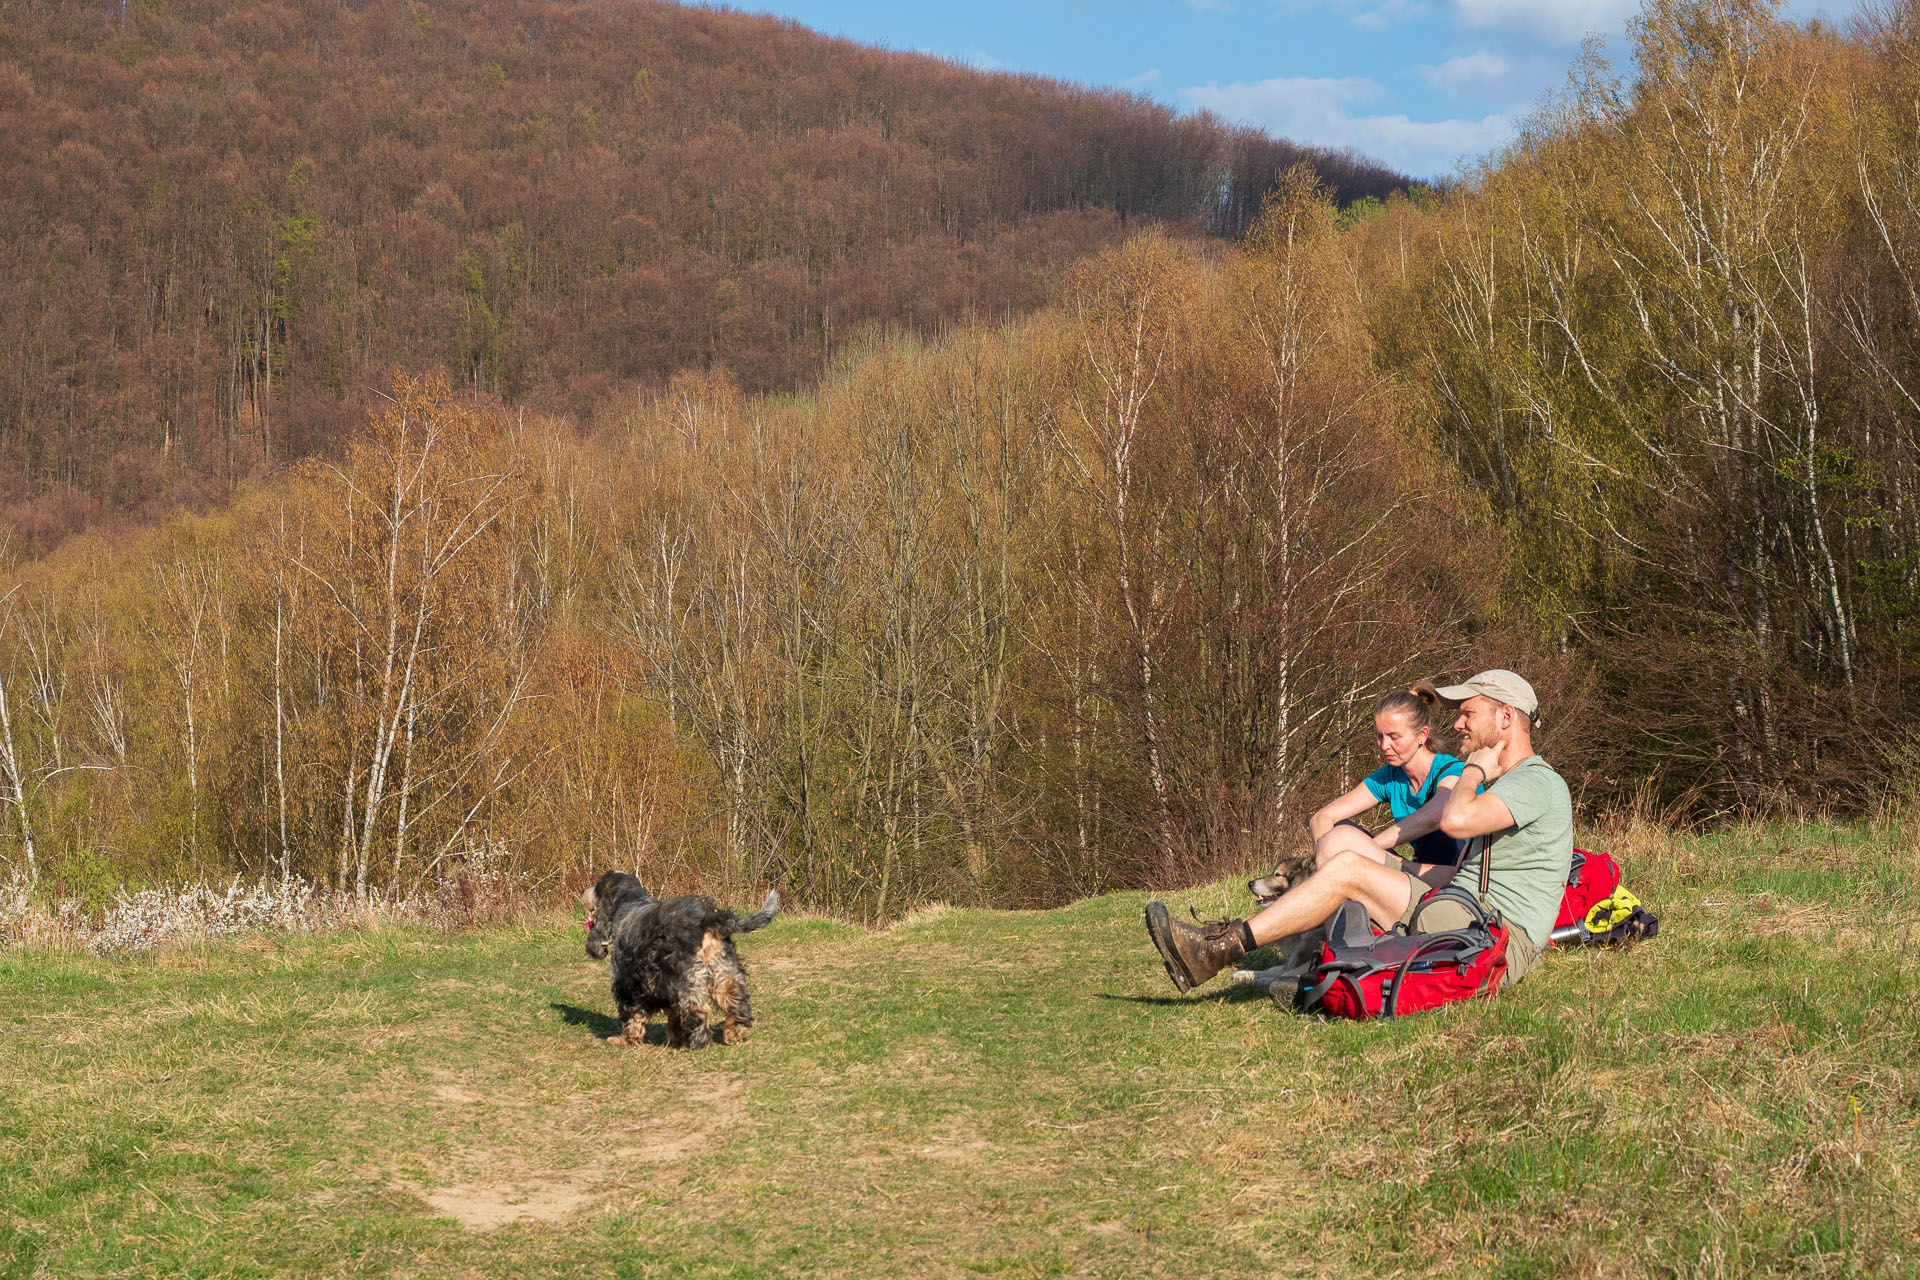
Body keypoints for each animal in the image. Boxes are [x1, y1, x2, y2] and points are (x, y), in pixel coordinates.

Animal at [579, 875, 775, 1043]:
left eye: (597, 888)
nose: (583, 890)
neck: (630, 902)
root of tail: (710, 917)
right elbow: (673, 1016)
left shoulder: (627, 981)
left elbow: (632, 1014)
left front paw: (624, 1039)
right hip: (725, 972)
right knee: (736, 1002)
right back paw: (734, 1032)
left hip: (685, 979)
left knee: (698, 1010)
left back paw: (695, 1041)